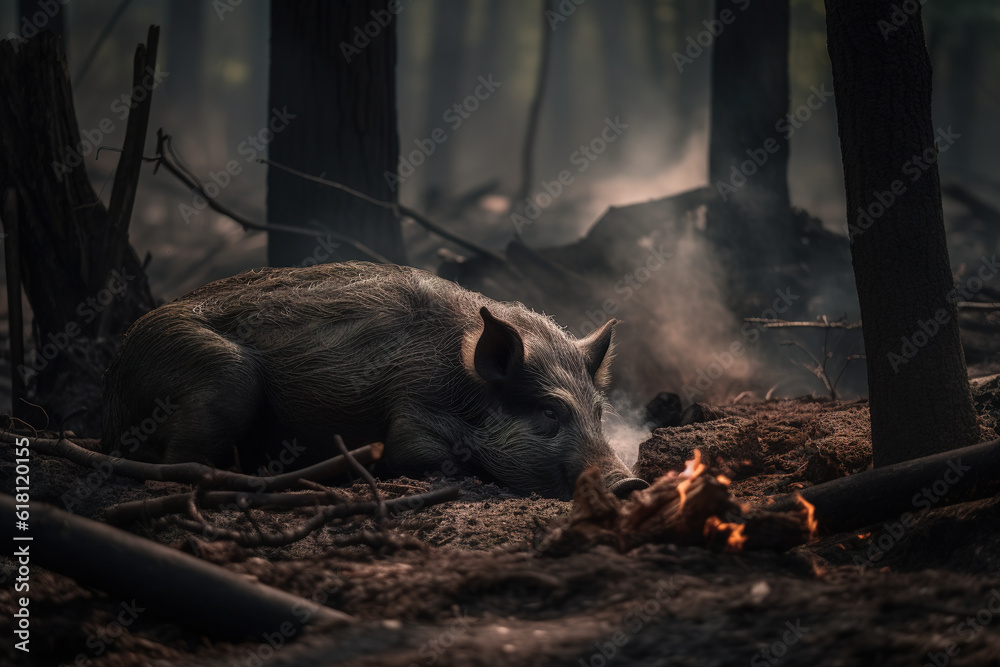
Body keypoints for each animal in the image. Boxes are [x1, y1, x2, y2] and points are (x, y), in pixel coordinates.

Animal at [100, 261, 649, 499]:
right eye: (549, 411)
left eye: (598, 413)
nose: (630, 481)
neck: (460, 386)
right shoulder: (408, 411)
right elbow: (421, 452)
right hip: (219, 377)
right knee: (174, 462)